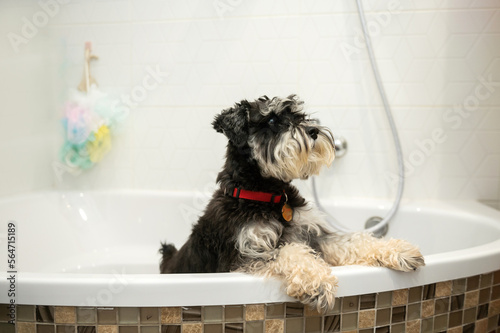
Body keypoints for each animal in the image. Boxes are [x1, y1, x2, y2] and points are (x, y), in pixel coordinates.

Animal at [159, 94, 422, 312]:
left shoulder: (314, 236)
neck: (269, 194)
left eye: (299, 115)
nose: (314, 130)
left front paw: (398, 250)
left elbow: (353, 240)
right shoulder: (246, 255)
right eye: (272, 119)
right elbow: (290, 252)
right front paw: (318, 282)